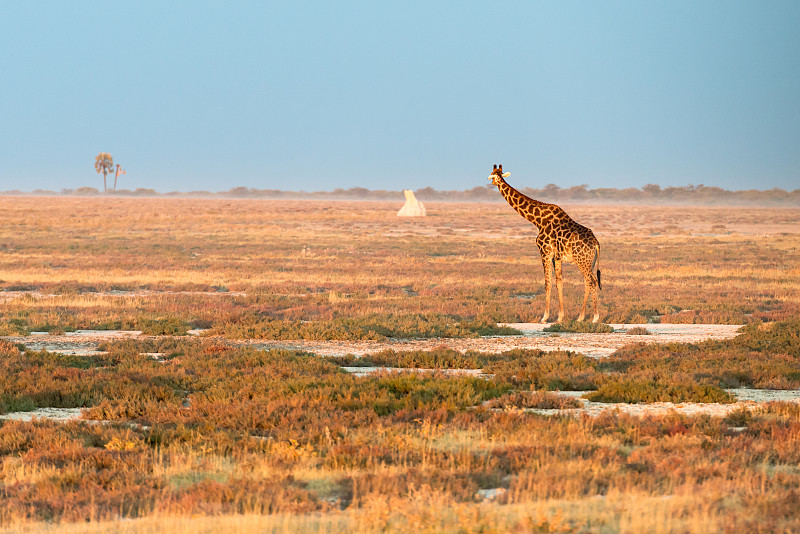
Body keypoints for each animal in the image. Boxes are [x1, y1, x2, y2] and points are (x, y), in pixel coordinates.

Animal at [484, 164, 604, 322]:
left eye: (492, 175)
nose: (489, 182)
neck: (537, 220)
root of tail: (596, 243)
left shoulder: (545, 252)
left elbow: (547, 283)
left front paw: (544, 317)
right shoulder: (556, 257)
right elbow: (559, 283)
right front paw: (560, 317)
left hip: (582, 260)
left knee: (591, 282)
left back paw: (588, 317)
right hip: (589, 261)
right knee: (590, 282)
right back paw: (589, 316)